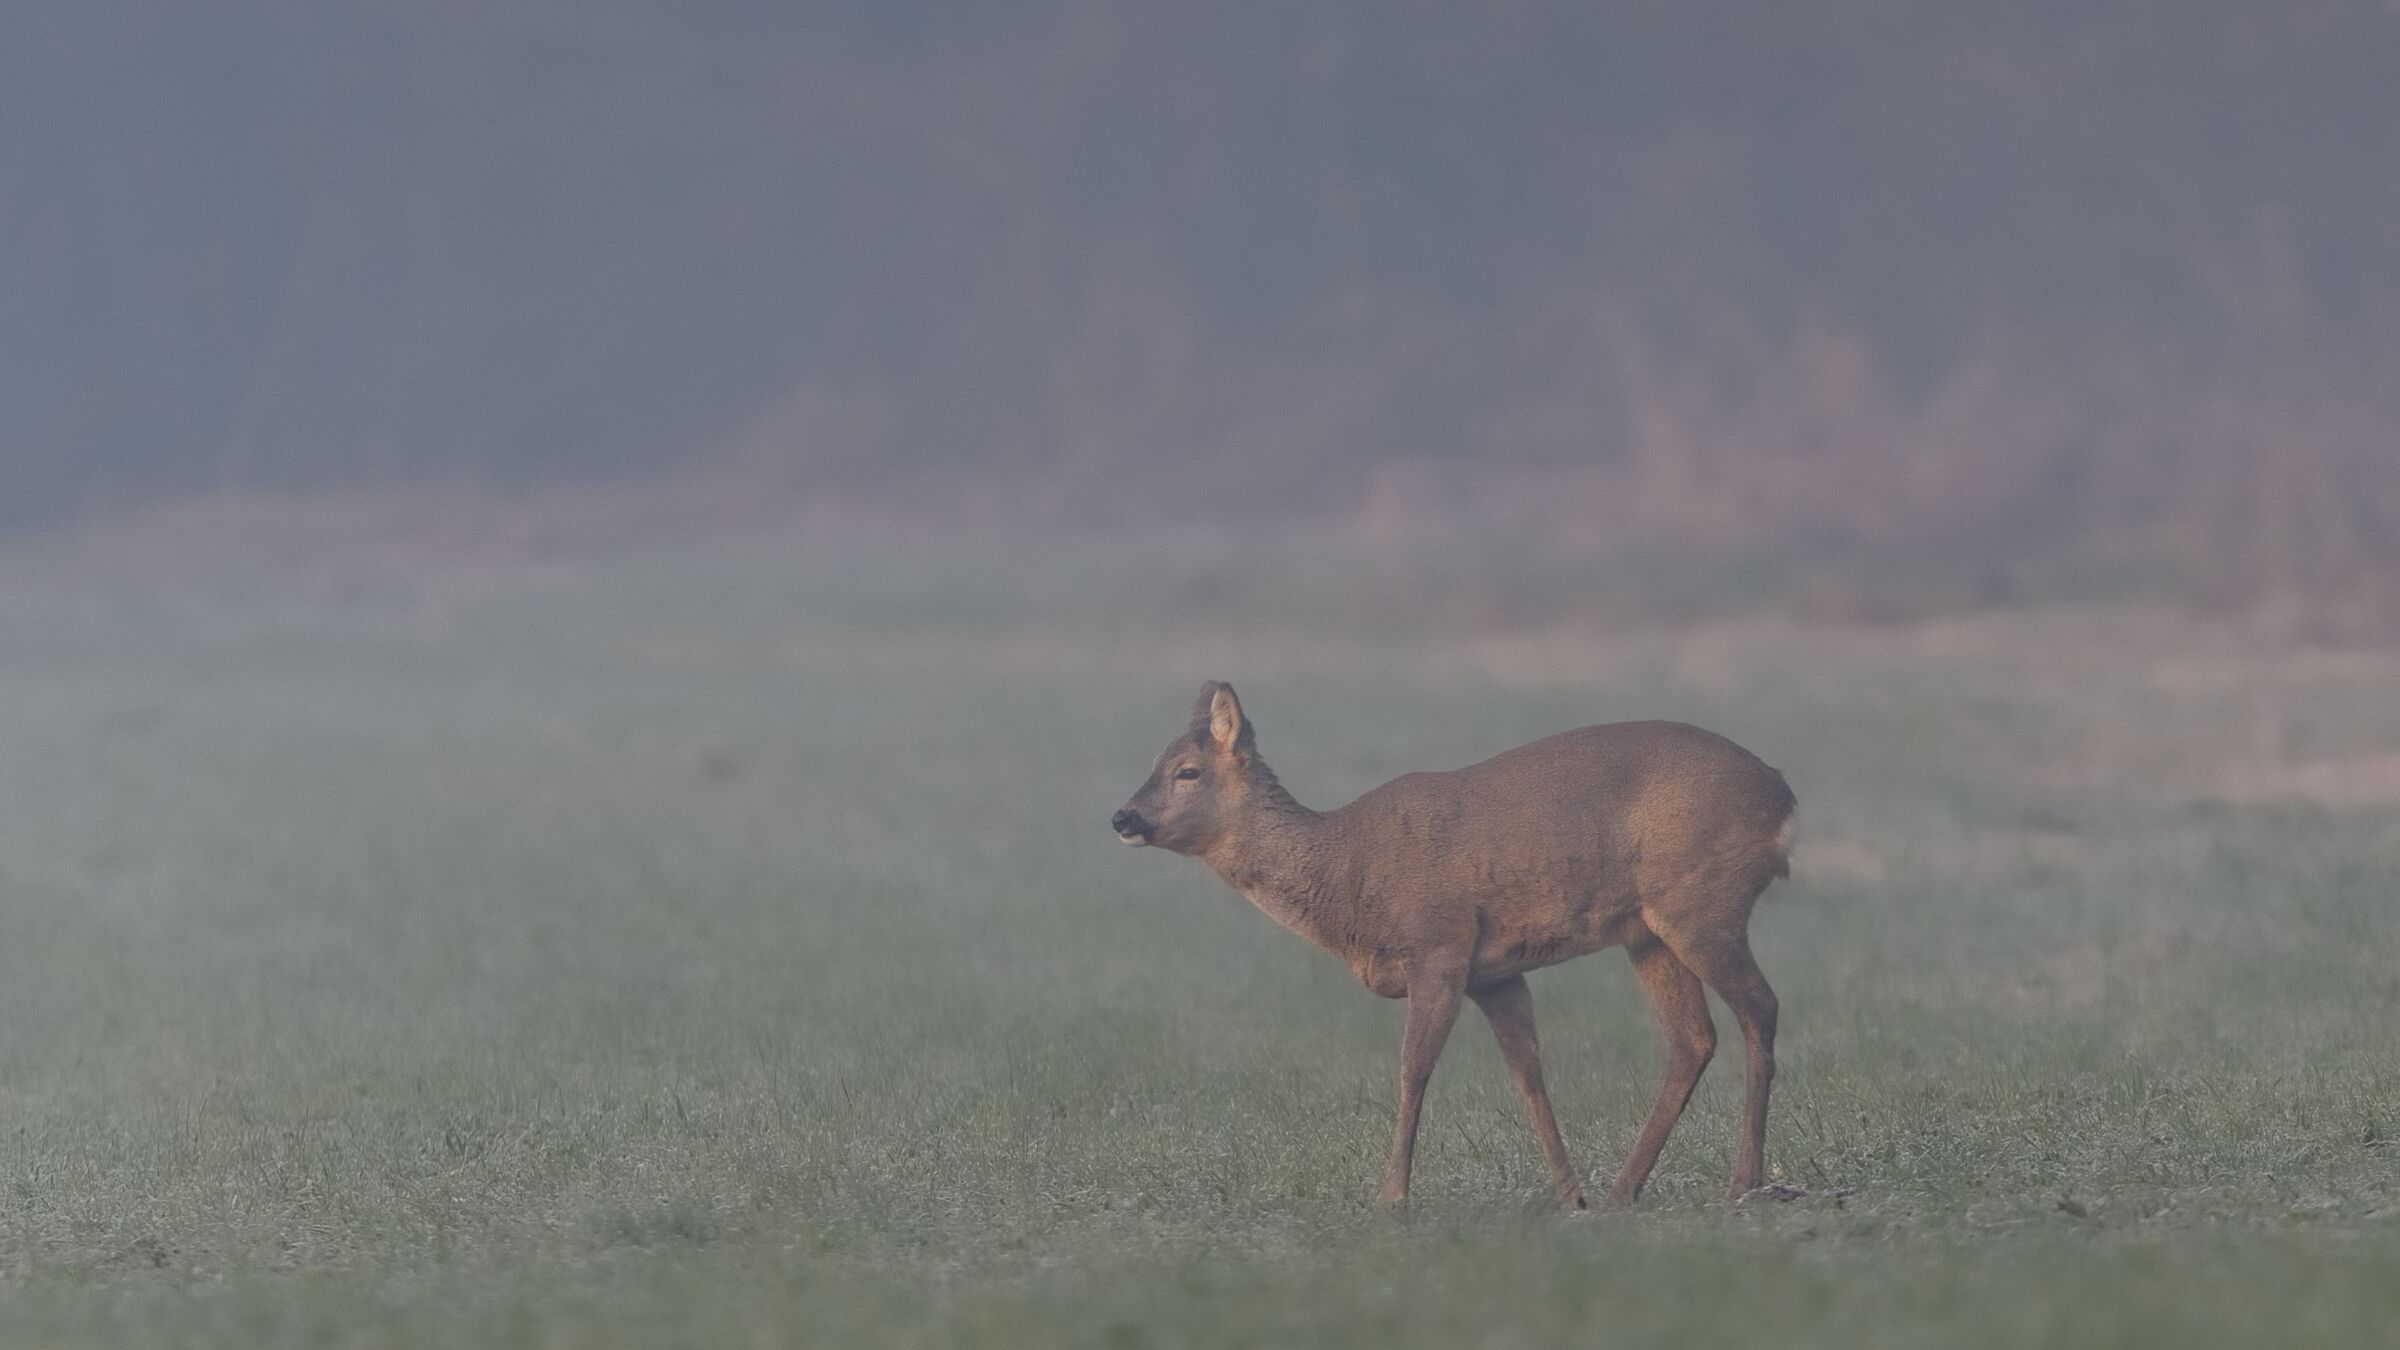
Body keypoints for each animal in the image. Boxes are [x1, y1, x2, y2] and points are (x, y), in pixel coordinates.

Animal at [1110, 682, 1796, 1212]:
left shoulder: (1439, 943)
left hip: (1702, 904)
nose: (1122, 818)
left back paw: (1744, 1181)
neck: (1350, 875)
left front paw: (1391, 1197)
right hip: (1648, 931)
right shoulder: (1494, 973)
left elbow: (1414, 1067)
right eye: (1155, 760)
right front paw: (1569, 1194)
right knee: (1693, 1038)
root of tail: (1784, 796)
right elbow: (1528, 1073)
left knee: (1761, 1008)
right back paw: (1623, 1190)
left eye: (1188, 771)